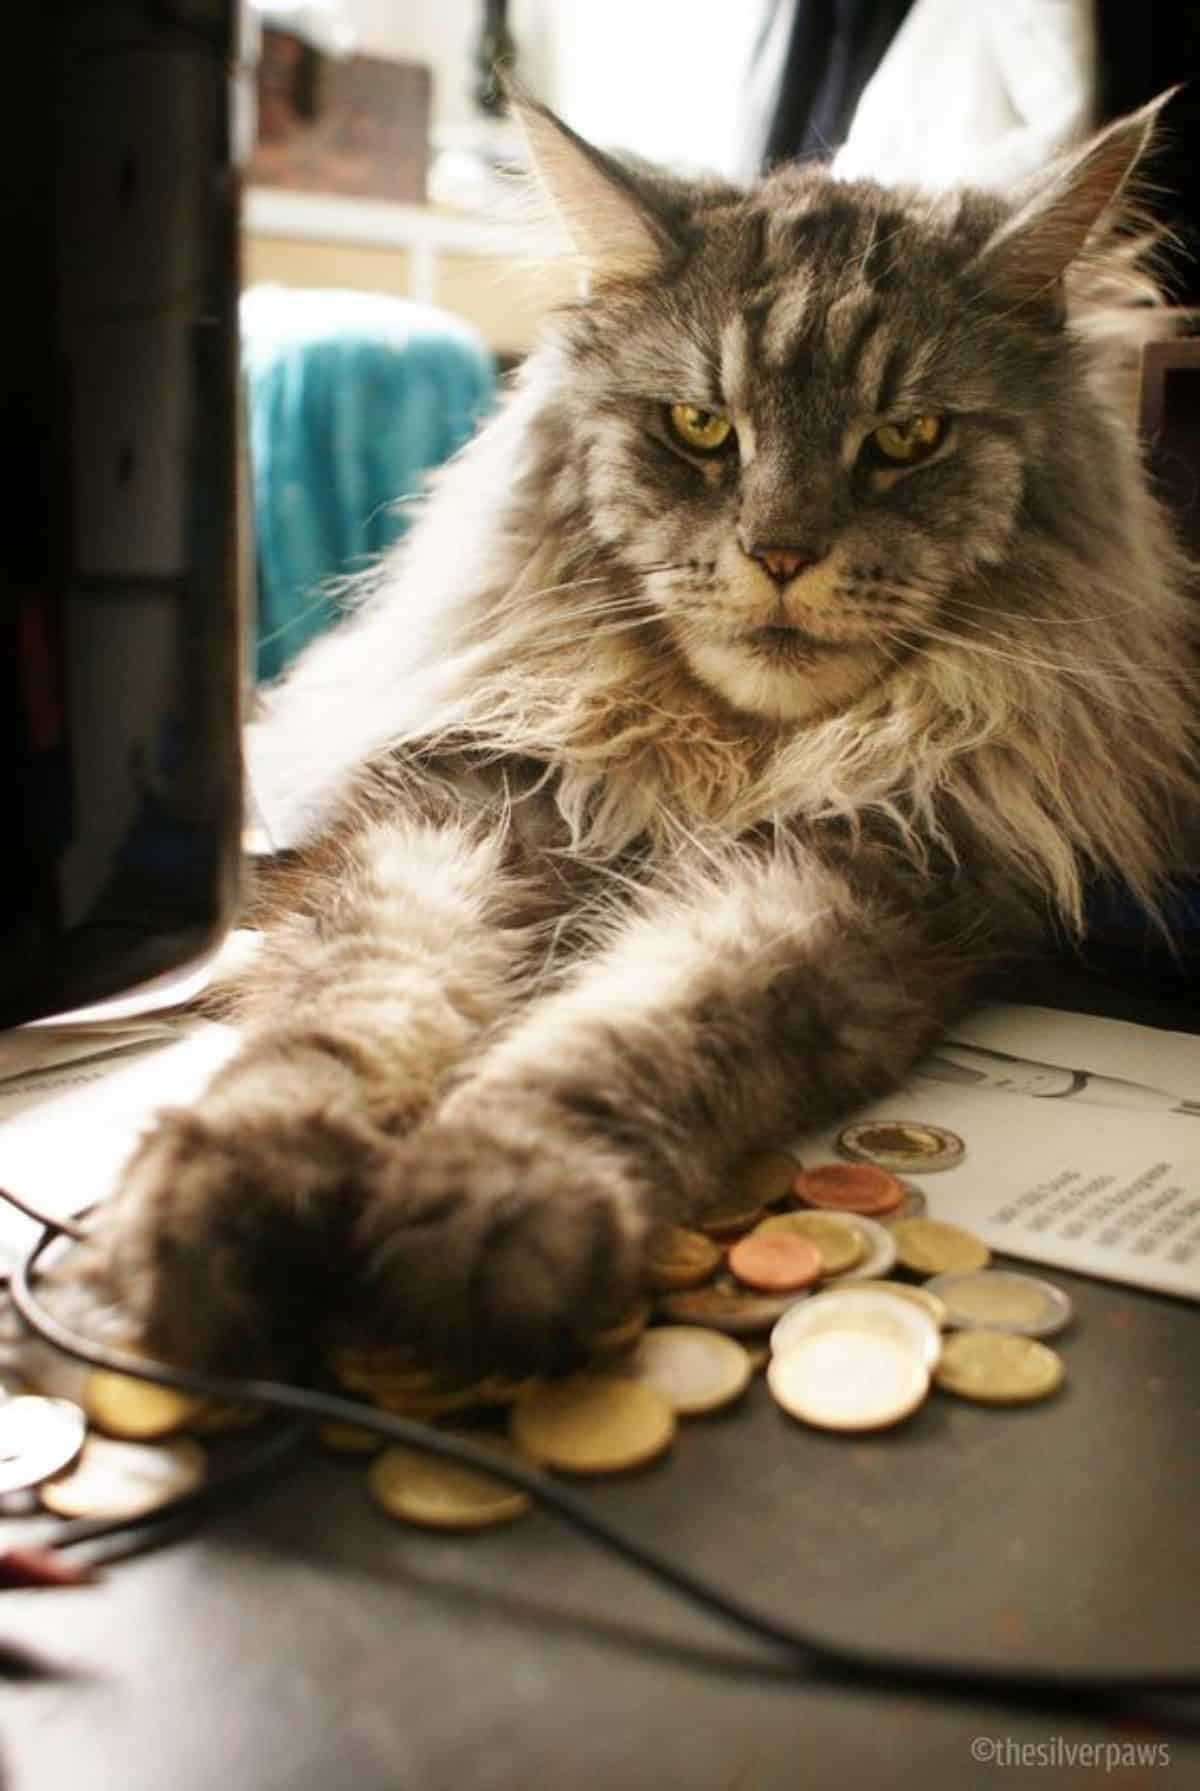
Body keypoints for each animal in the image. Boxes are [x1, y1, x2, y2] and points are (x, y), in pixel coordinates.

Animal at [108, 98, 1196, 1368]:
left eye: (908, 438)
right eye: (700, 427)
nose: (781, 553)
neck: (719, 758)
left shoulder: (847, 880)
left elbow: (624, 1035)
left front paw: (494, 1202)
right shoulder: (459, 811)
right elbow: (351, 1010)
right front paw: (229, 1192)